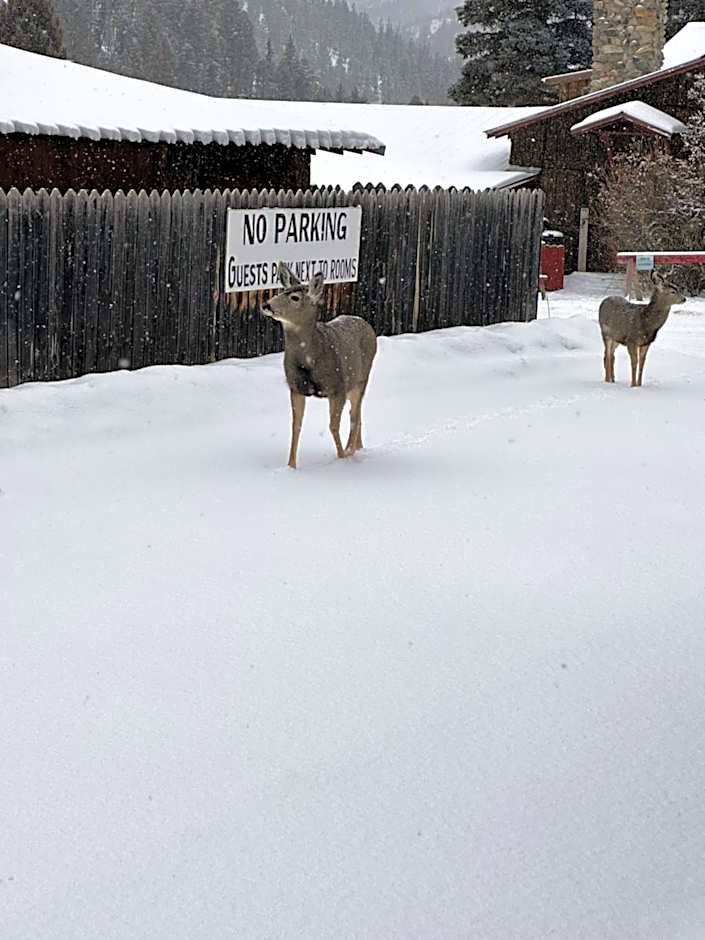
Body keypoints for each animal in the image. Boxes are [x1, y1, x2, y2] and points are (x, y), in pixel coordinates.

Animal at [261, 262, 377, 469]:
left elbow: (333, 425)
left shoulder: (337, 387)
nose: (266, 305)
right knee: (357, 412)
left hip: (361, 378)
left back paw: (350, 450)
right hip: (353, 384)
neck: (309, 360)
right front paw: (291, 466)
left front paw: (341, 457)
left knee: (354, 415)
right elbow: (296, 426)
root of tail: (366, 324)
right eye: (282, 291)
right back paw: (358, 447)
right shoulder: (295, 387)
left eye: (295, 297)